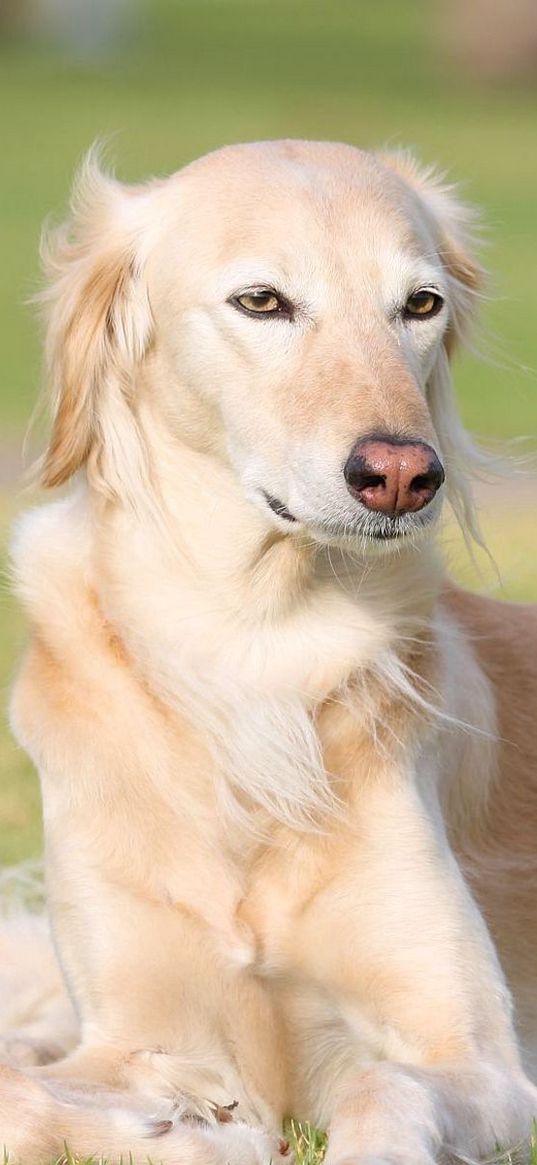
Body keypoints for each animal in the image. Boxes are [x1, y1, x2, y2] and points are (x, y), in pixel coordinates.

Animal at [3, 140, 535, 1160]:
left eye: (420, 304)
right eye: (262, 301)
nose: (402, 476)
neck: (250, 646)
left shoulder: (483, 1058)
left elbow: (380, 1081)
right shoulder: (129, 1031)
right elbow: (23, 1092)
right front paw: (190, 1130)